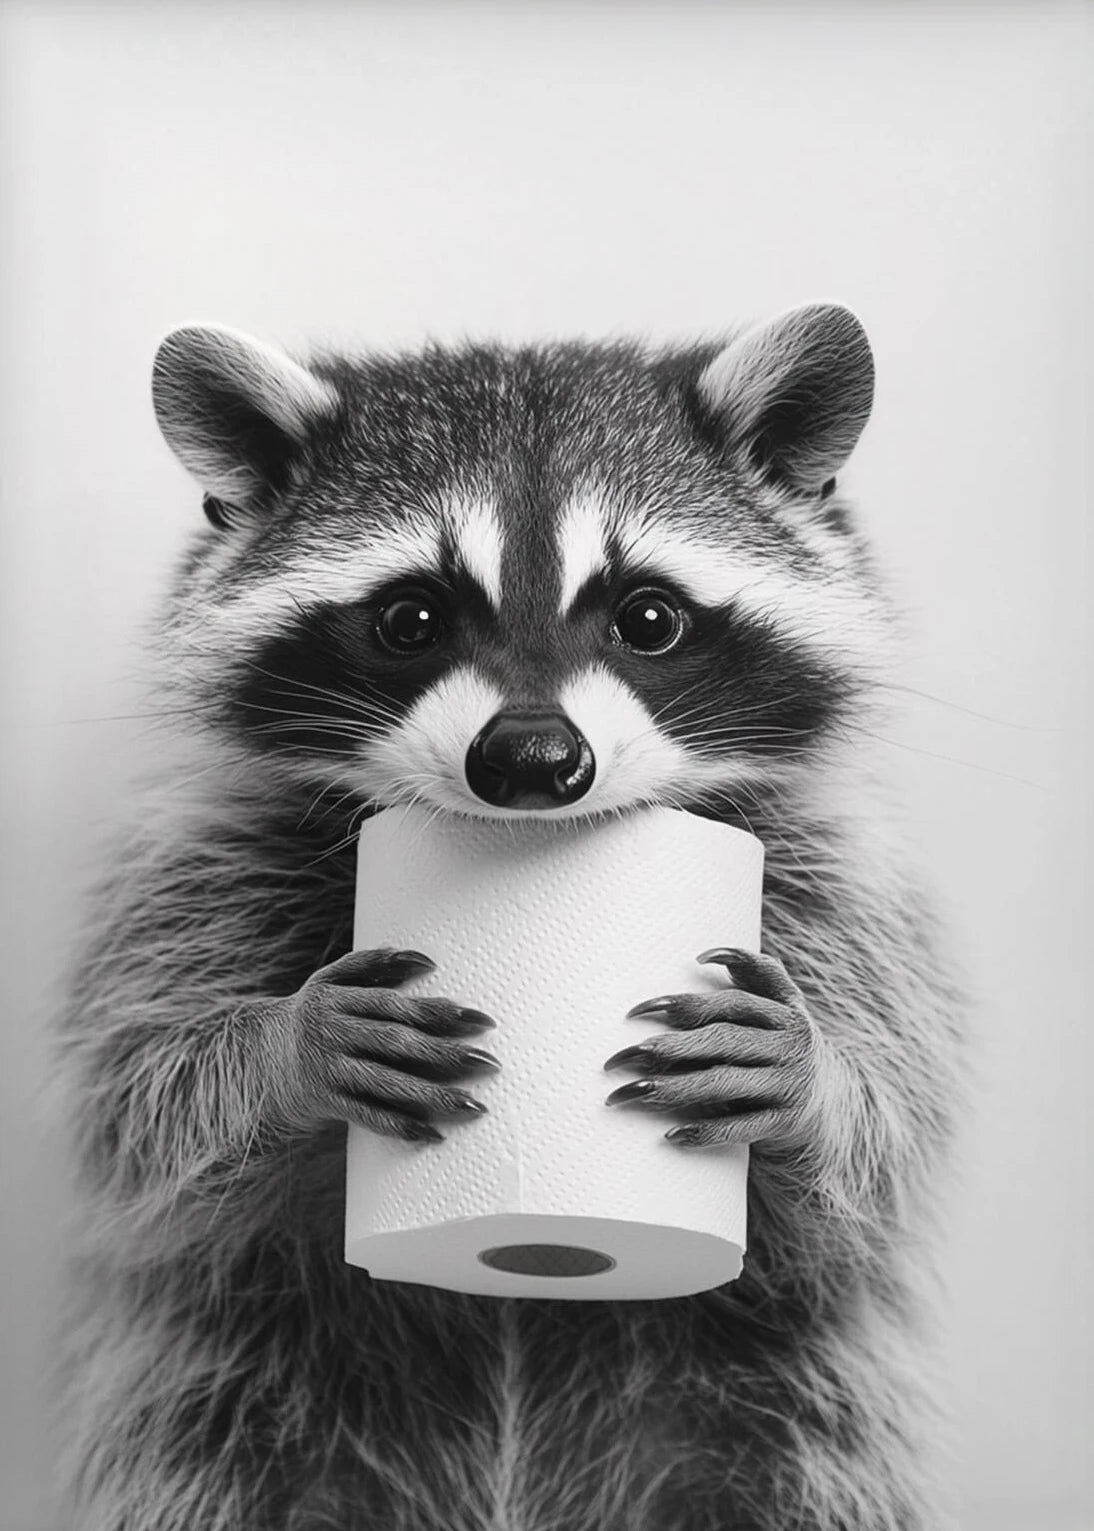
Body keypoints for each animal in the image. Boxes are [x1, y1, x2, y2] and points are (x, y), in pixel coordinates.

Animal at [57, 305, 965, 1531]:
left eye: (647, 617)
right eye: (409, 619)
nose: (532, 760)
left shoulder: (830, 874)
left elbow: (891, 1134)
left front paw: (817, 1081)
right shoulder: (206, 862)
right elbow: (139, 1100)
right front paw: (277, 1049)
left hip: (771, 1415)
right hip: (241, 1405)